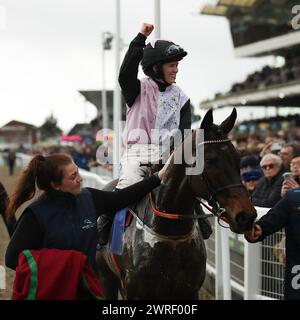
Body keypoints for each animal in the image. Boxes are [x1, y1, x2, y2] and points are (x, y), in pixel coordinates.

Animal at [97, 108, 256, 300]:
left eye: (238, 157)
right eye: (210, 161)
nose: (247, 216)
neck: (171, 234)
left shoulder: (189, 291)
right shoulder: (135, 292)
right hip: (106, 278)